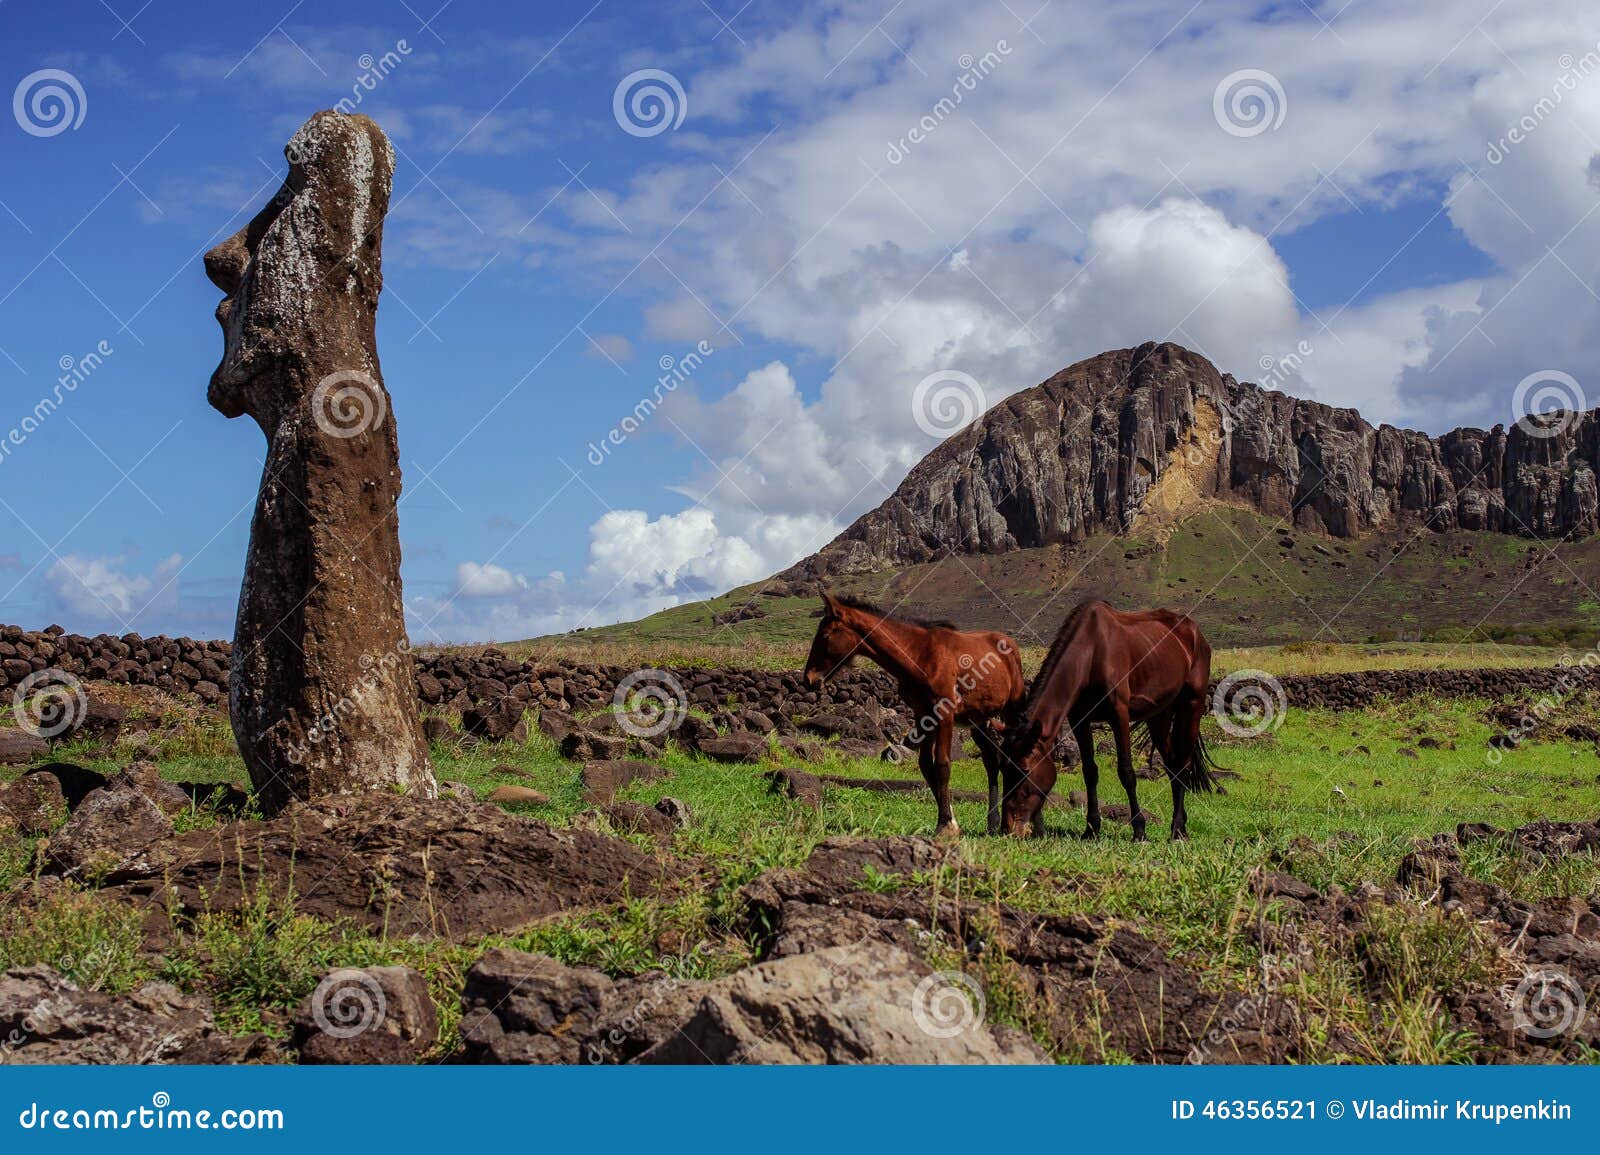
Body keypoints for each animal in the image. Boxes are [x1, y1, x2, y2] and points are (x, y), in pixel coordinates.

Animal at [806, 595, 1030, 838]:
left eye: (825, 635)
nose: (809, 678)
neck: (919, 656)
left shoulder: (945, 714)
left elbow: (942, 765)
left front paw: (945, 826)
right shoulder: (923, 714)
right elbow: (925, 765)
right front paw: (951, 821)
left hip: (1012, 710)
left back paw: (1018, 823)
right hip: (978, 720)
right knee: (991, 761)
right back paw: (993, 822)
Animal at [992, 601, 1216, 838]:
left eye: (1024, 770)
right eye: (1003, 767)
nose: (1007, 827)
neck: (1091, 654)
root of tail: (1195, 632)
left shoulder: (1119, 715)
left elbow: (1126, 773)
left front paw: (1139, 830)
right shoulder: (1079, 719)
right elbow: (1089, 772)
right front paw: (1091, 829)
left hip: (1192, 705)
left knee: (1183, 764)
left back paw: (1178, 830)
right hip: (1159, 716)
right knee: (1173, 765)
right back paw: (1178, 826)